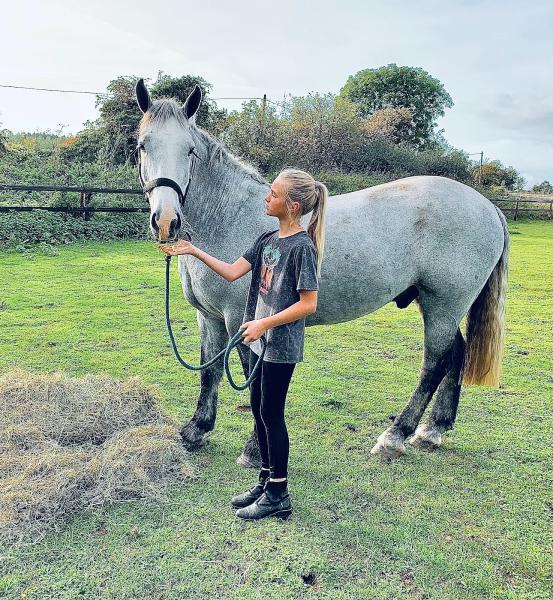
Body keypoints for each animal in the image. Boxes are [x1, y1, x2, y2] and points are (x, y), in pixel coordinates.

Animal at [135, 81, 508, 464]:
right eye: (142, 146)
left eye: (190, 150)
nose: (166, 221)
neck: (228, 215)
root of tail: (488, 206)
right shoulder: (208, 317)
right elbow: (209, 371)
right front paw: (196, 430)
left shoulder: (244, 320)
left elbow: (254, 381)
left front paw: (254, 450)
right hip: (440, 306)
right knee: (456, 355)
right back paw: (433, 430)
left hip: (443, 306)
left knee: (434, 364)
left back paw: (396, 436)